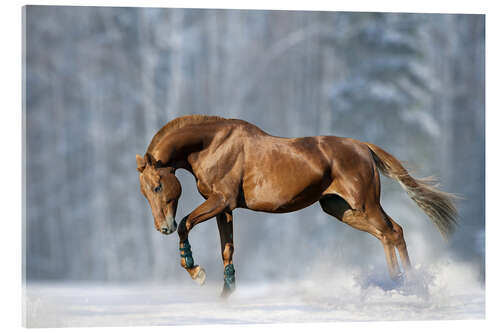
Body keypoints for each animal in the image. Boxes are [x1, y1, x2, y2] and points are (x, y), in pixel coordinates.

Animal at [136, 115, 458, 296]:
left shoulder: (220, 201)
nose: (162, 227)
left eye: (157, 186)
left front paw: (195, 270)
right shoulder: (224, 209)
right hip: (342, 209)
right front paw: (226, 294)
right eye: (144, 193)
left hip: (365, 203)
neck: (211, 145)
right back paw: (400, 282)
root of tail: (364, 147)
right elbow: (227, 250)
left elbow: (186, 223)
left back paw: (406, 285)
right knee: (389, 233)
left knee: (392, 233)